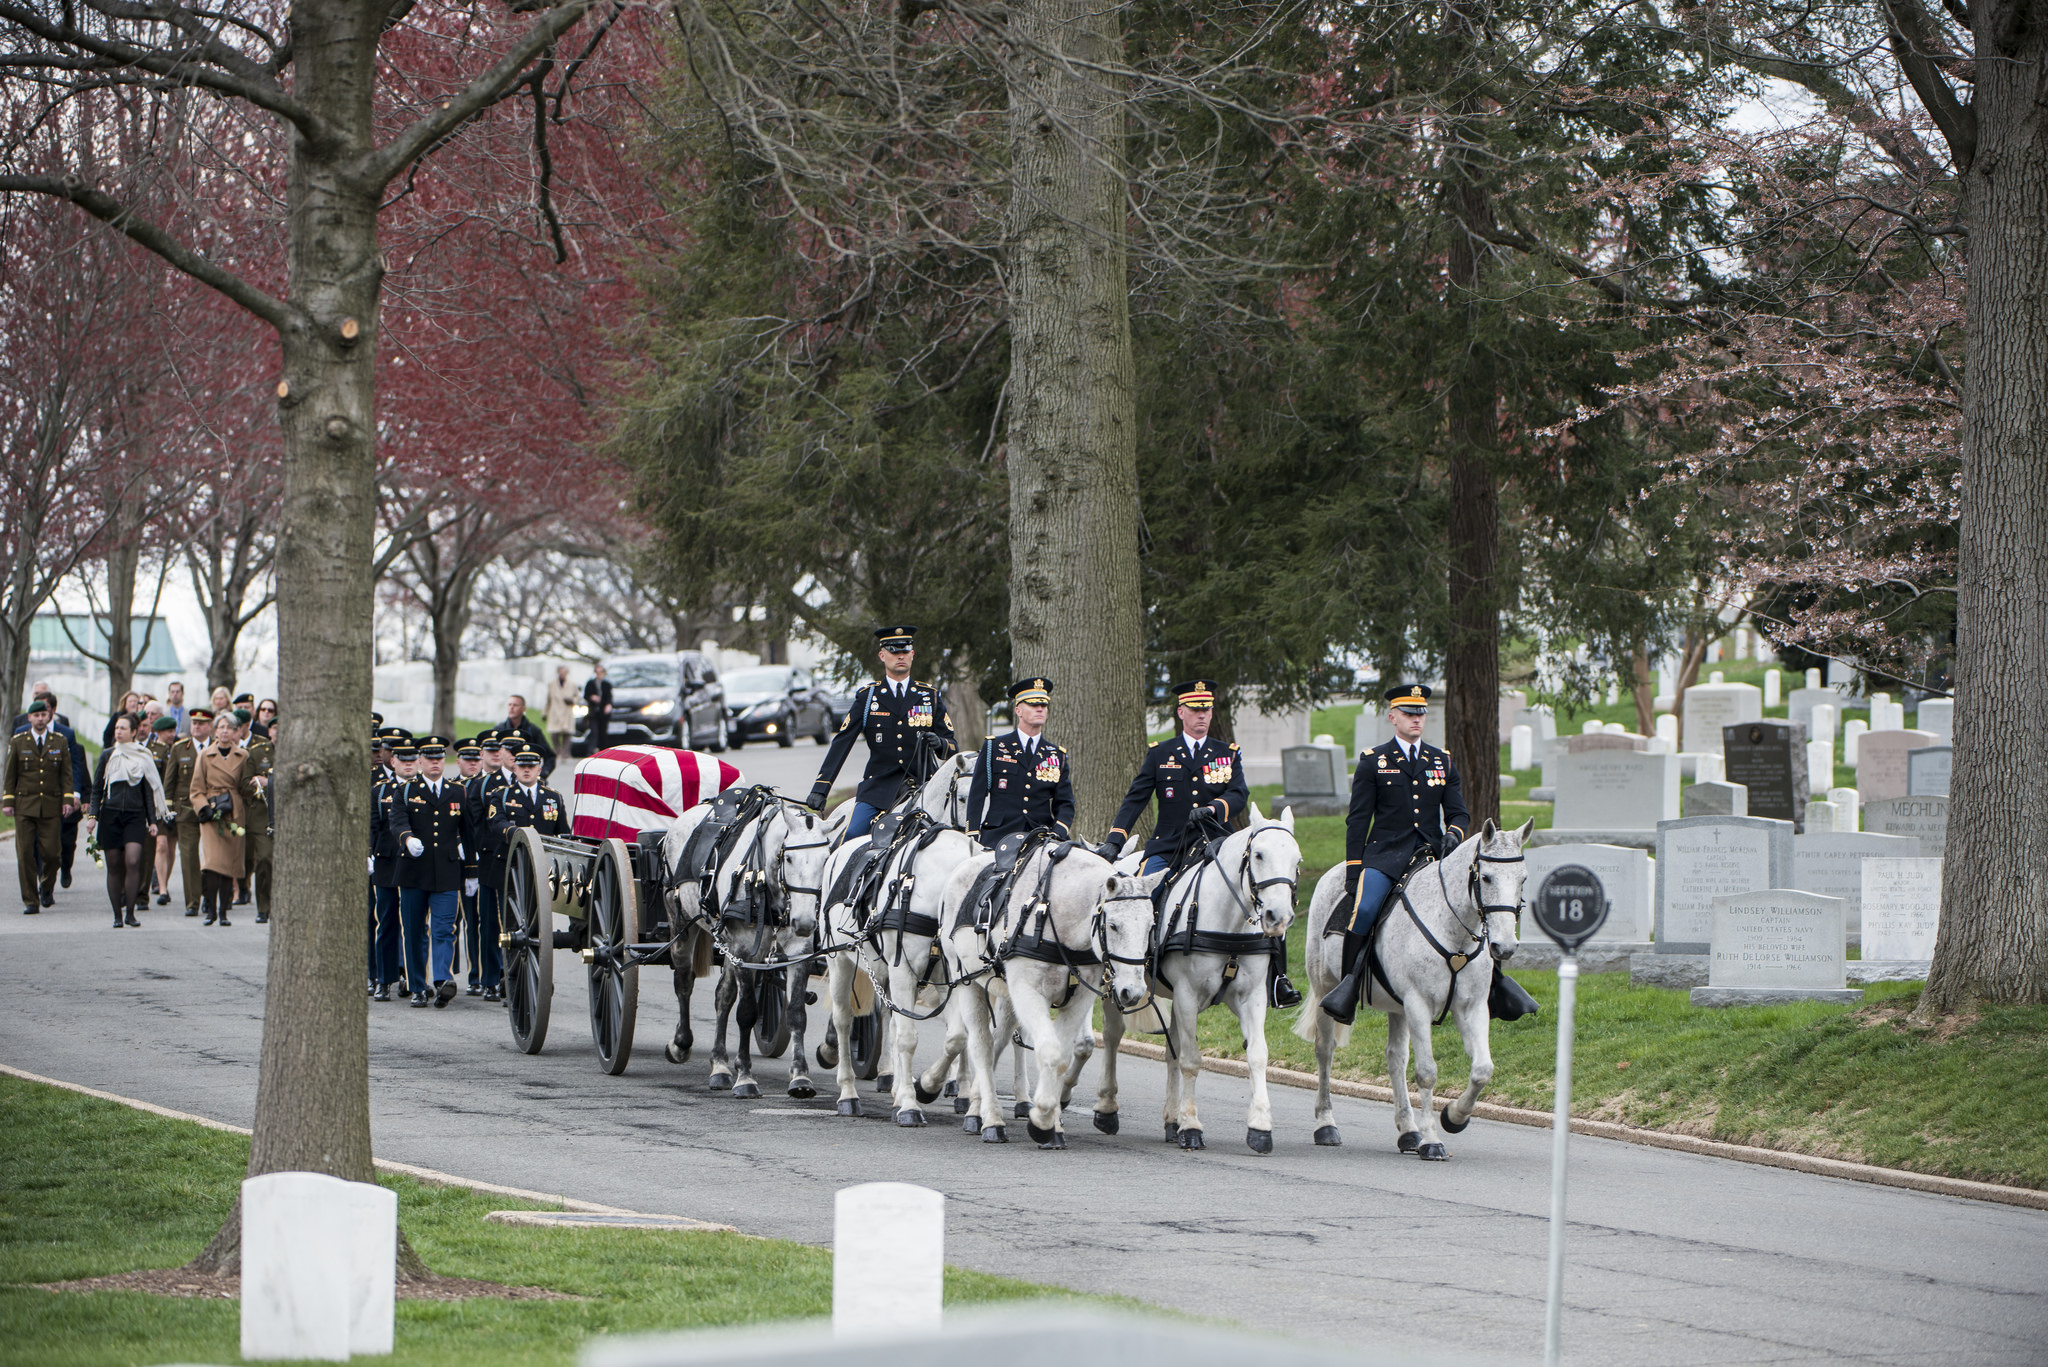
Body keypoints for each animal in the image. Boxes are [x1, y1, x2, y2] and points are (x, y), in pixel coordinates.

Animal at [659, 791, 827, 1098]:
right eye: (789, 858)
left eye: (825, 859)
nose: (806, 921)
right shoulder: (744, 951)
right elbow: (747, 1012)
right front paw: (746, 1077)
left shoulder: (798, 952)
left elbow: (796, 1013)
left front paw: (800, 1076)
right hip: (681, 921)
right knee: (684, 982)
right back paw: (681, 1044)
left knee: (722, 996)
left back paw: (720, 1065)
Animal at [937, 848, 1163, 1147]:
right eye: (1113, 926)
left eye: (1150, 927)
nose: (1133, 991)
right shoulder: (1029, 992)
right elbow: (1050, 1051)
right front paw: (1042, 1118)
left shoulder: (1079, 998)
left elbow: (1063, 1058)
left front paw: (1052, 1123)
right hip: (966, 981)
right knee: (982, 1047)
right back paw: (990, 1119)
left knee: (998, 1040)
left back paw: (976, 1105)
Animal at [1097, 807, 1302, 1164]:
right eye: (1259, 855)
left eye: (1296, 860)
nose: (1279, 917)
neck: (1229, 923)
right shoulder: (1188, 996)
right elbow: (1192, 1059)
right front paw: (1191, 1127)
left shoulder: (1251, 997)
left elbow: (1257, 1055)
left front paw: (1260, 1126)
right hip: (1119, 983)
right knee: (1112, 1038)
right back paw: (1108, 1108)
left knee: (1171, 1052)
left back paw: (1170, 1119)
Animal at [1294, 819, 1523, 1164]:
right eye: (1486, 877)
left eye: (1523, 878)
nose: (1504, 946)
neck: (1452, 930)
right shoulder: (1418, 1004)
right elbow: (1427, 1072)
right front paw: (1432, 1141)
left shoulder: (1471, 1007)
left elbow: (1482, 1069)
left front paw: (1454, 1117)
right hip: (1326, 988)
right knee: (1325, 1051)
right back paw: (1326, 1125)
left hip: (1397, 1007)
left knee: (1395, 1059)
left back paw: (1408, 1130)